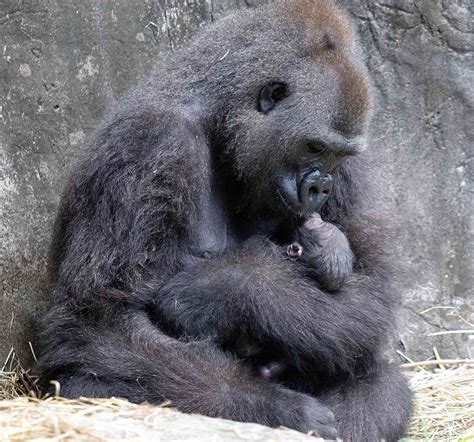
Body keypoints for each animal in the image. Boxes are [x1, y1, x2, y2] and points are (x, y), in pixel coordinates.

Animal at [39, 0, 412, 438]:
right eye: (314, 147)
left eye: (338, 155)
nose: (321, 187)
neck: (219, 120)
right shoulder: (150, 142)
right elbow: (100, 318)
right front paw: (275, 406)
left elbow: (372, 287)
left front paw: (227, 287)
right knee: (89, 380)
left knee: (383, 383)